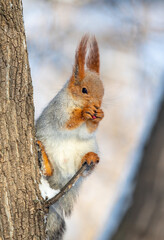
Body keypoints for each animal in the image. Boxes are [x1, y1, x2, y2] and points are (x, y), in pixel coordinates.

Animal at [36, 34, 104, 240]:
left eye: (103, 92)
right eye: (84, 90)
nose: (98, 106)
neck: (76, 103)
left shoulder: (87, 133)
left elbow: (87, 131)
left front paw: (99, 117)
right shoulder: (58, 110)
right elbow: (66, 123)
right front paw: (83, 114)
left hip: (85, 154)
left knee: (86, 169)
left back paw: (90, 159)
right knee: (47, 173)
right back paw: (45, 162)